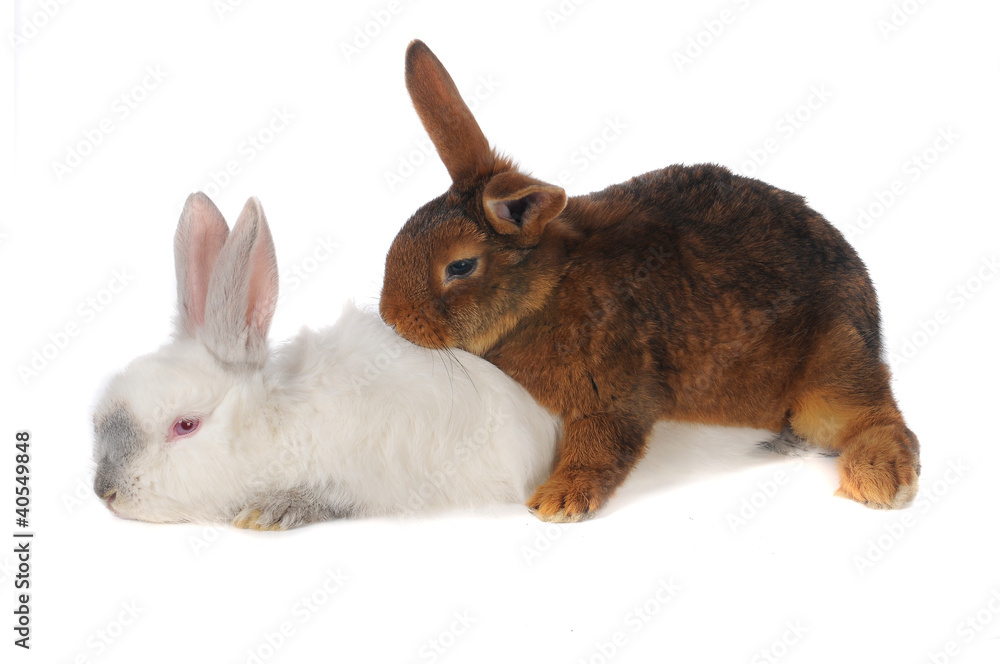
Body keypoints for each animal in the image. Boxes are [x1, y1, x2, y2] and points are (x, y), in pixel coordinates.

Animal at [379, 40, 921, 523]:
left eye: (460, 267)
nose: (391, 318)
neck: (547, 291)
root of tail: (870, 317)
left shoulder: (614, 393)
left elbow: (599, 446)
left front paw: (557, 502)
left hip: (830, 370)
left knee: (880, 417)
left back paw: (881, 483)